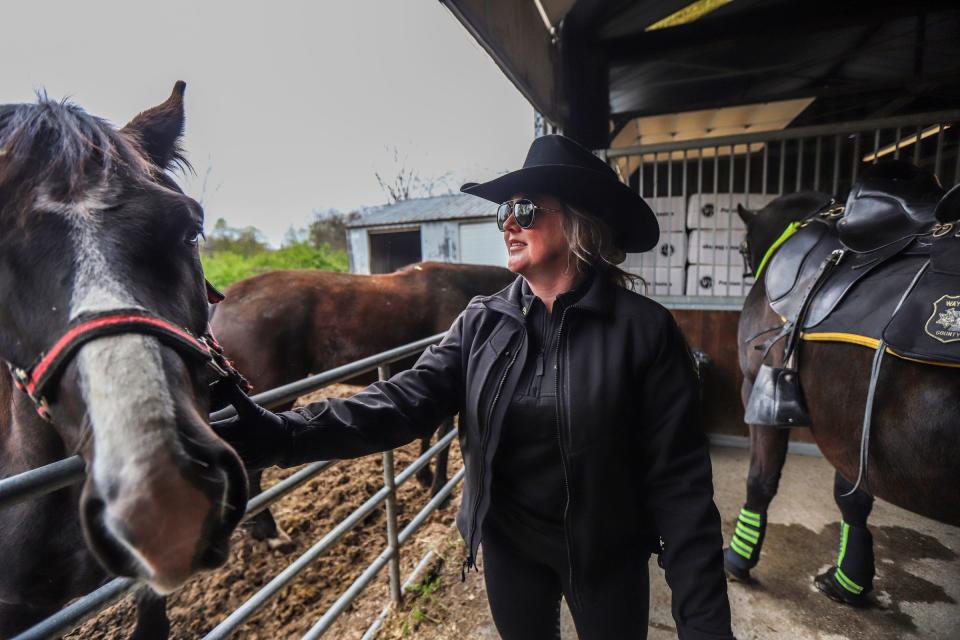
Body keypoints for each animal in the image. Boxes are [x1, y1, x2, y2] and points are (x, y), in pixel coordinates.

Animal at [209, 262, 516, 544]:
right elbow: (442, 437)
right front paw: (439, 491)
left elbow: (427, 433)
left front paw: (424, 477)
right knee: (252, 473)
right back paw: (269, 531)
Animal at [728, 165, 960, 604]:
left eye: (744, 249)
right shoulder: (852, 424)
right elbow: (852, 496)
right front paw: (848, 580)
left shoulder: (756, 391)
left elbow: (760, 482)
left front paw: (737, 560)